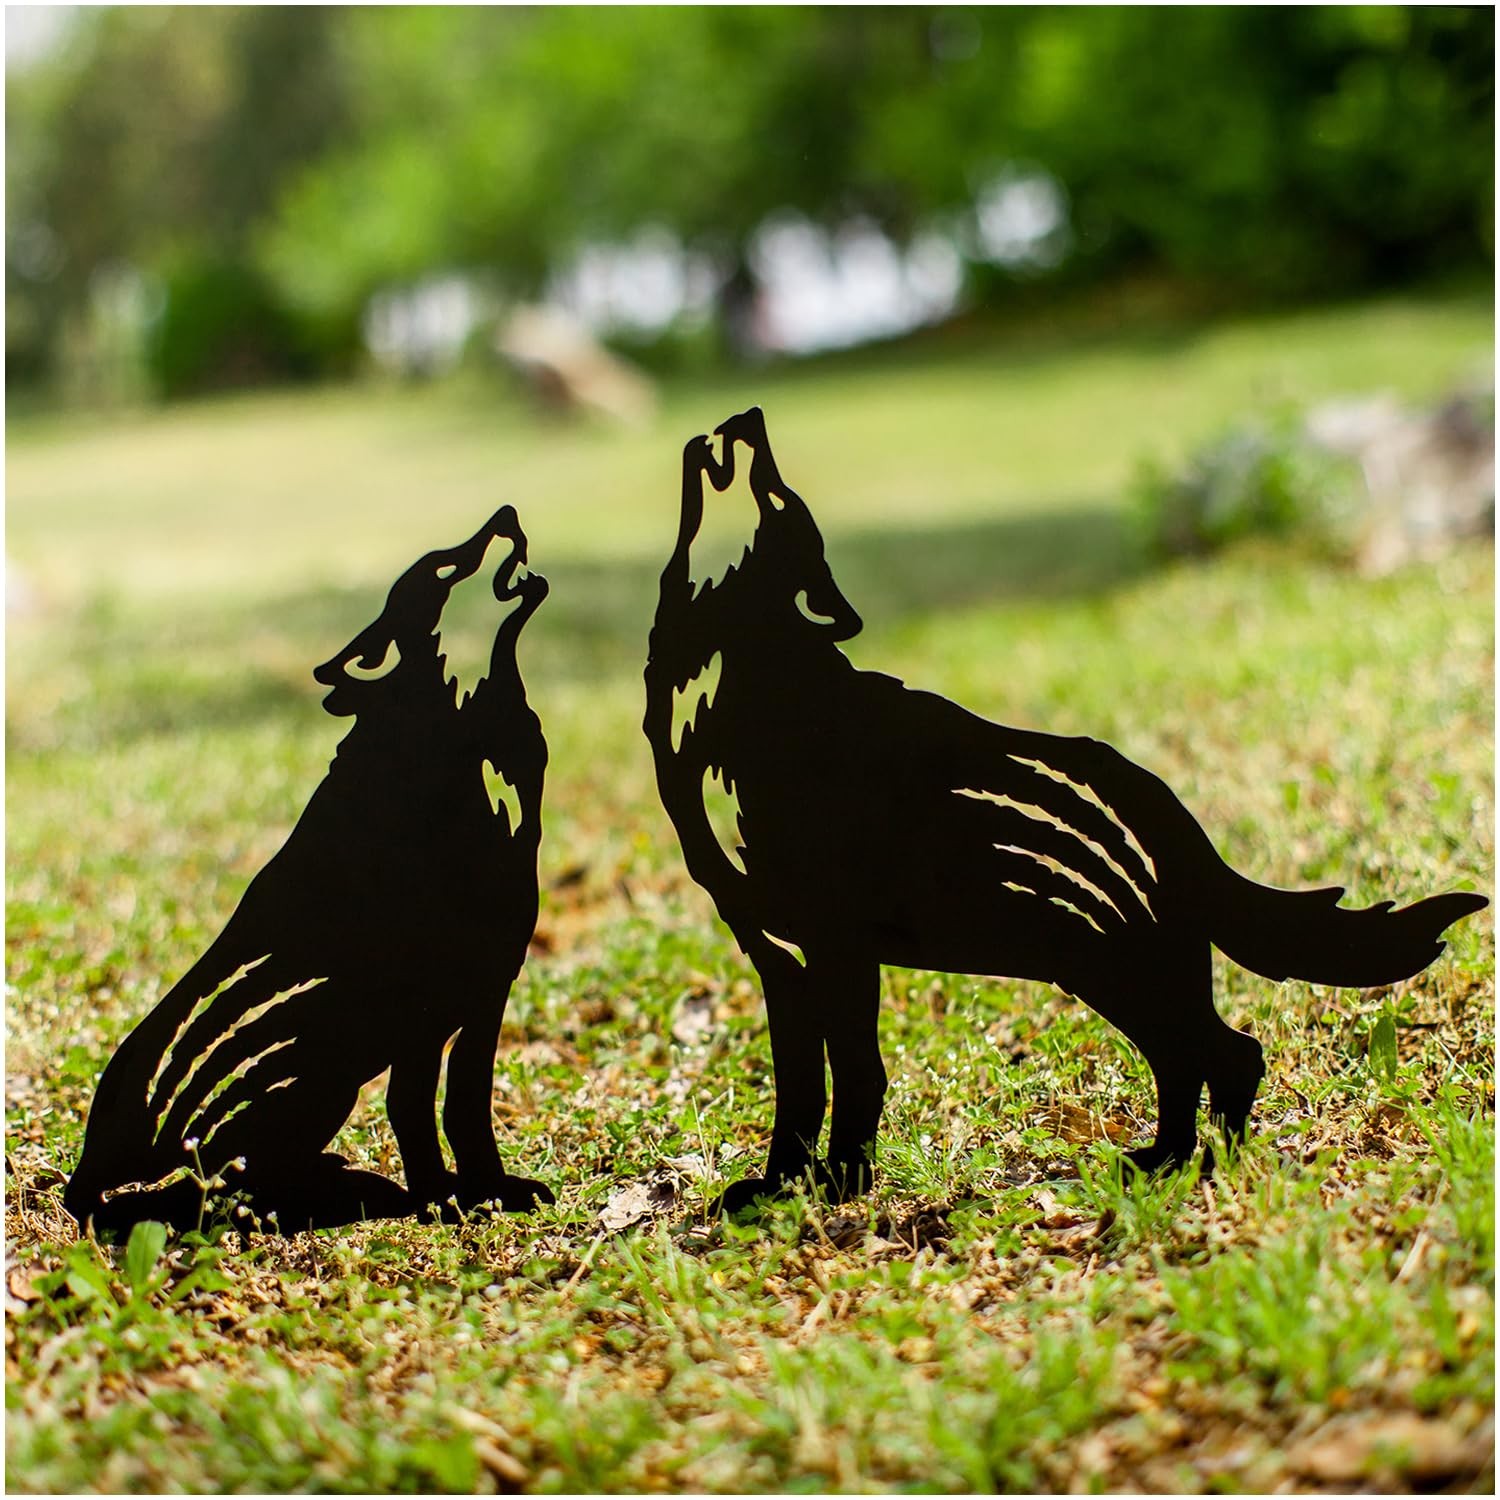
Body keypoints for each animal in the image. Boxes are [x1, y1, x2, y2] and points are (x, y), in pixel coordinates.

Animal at [66, 507, 554, 1233]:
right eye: (445, 566)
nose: (506, 515)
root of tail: (90, 1169)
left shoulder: (483, 989)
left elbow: (463, 1108)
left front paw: (488, 1190)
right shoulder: (426, 1001)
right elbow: (420, 1109)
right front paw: (444, 1201)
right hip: (315, 1071)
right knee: (223, 1179)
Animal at [644, 407, 1486, 1212]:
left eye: (776, 495)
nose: (748, 417)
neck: (735, 688)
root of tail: (1174, 822)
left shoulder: (836, 943)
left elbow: (853, 1074)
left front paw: (840, 1189)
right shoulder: (772, 952)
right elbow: (797, 1087)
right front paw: (778, 1188)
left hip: (1115, 964)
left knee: (1226, 1053)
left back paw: (1198, 1169)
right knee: (1197, 1058)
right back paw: (1168, 1162)